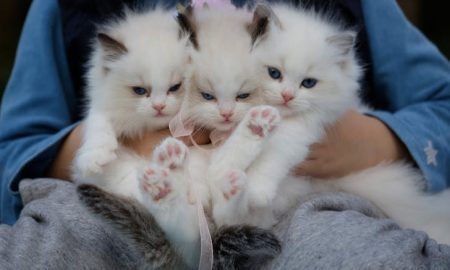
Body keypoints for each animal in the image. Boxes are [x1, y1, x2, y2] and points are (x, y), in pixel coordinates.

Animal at [213, 3, 450, 244]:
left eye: (308, 83)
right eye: (274, 73)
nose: (288, 96)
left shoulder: (299, 136)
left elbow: (270, 159)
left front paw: (258, 191)